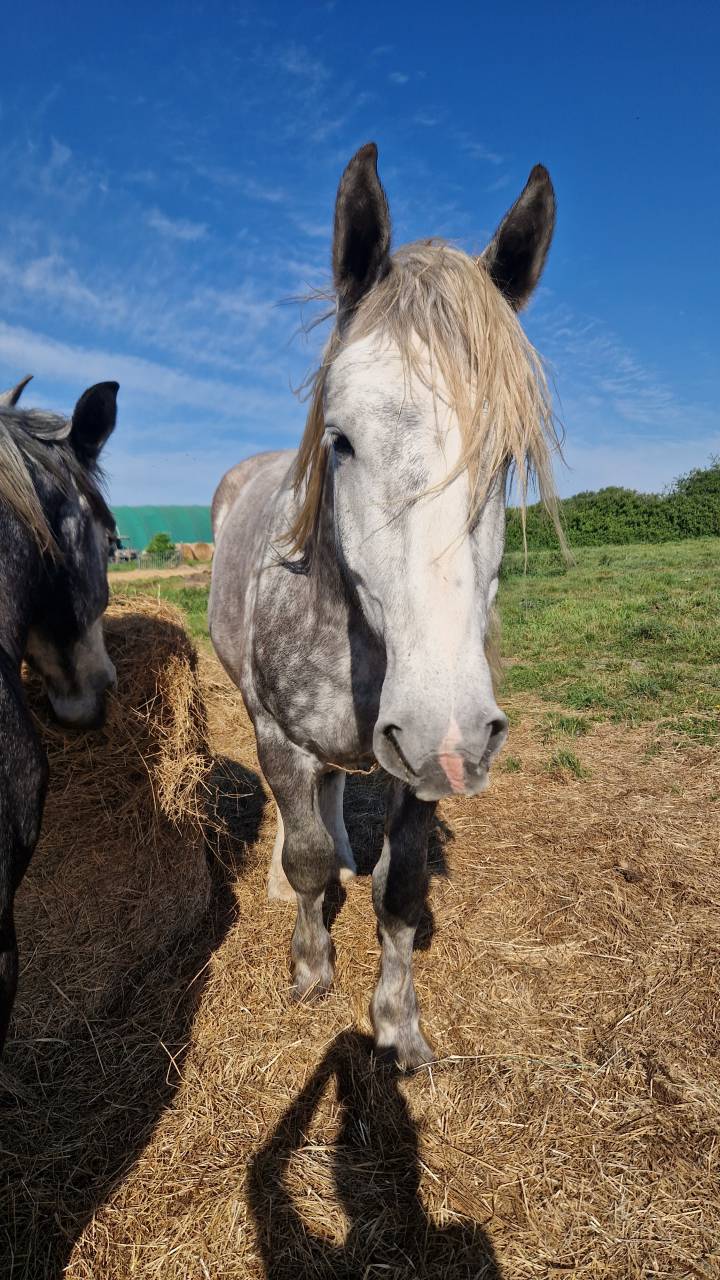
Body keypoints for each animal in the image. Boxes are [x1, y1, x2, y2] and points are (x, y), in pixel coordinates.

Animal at [209, 143, 561, 1069]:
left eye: (504, 458)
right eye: (340, 440)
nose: (450, 731)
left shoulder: (416, 768)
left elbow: (398, 891)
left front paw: (398, 1026)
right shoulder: (277, 734)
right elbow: (303, 858)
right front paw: (309, 971)